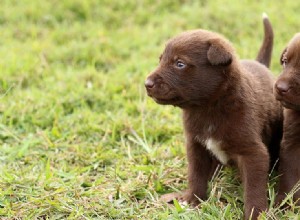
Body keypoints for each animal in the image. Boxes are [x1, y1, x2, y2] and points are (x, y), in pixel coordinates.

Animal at [145, 15, 282, 220]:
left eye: (179, 64)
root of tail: (261, 64)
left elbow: (254, 187)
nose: (147, 83)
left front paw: (256, 213)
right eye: (161, 60)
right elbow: (196, 174)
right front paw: (191, 199)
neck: (208, 108)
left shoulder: (253, 152)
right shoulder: (196, 145)